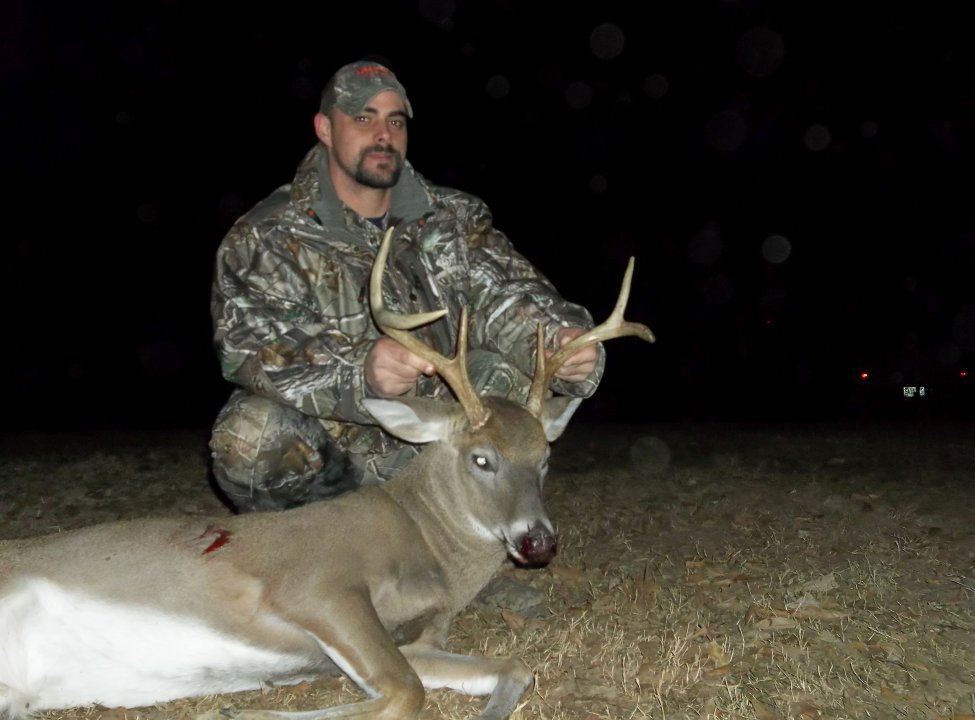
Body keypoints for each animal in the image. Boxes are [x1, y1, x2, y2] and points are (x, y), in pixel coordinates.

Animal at [0, 227, 655, 720]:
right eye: (481, 458)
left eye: (544, 458)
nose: (538, 541)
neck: (427, 548)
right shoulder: (316, 585)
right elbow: (402, 693)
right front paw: (241, 709)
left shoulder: (419, 638)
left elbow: (512, 668)